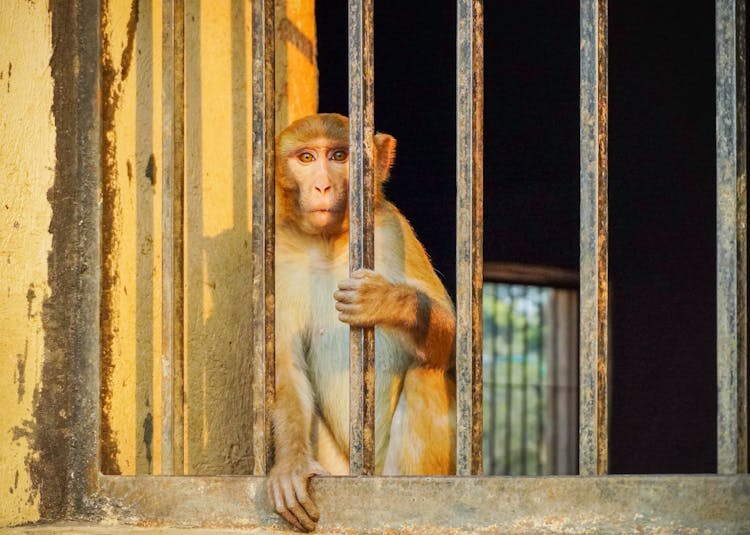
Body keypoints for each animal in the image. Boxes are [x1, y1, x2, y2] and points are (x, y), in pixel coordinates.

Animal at [270, 113, 458, 532]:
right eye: (306, 158)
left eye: (339, 156)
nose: (322, 185)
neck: (329, 242)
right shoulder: (281, 257)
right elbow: (284, 363)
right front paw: (290, 466)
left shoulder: (392, 229)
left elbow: (458, 341)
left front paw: (387, 301)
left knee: (425, 371)